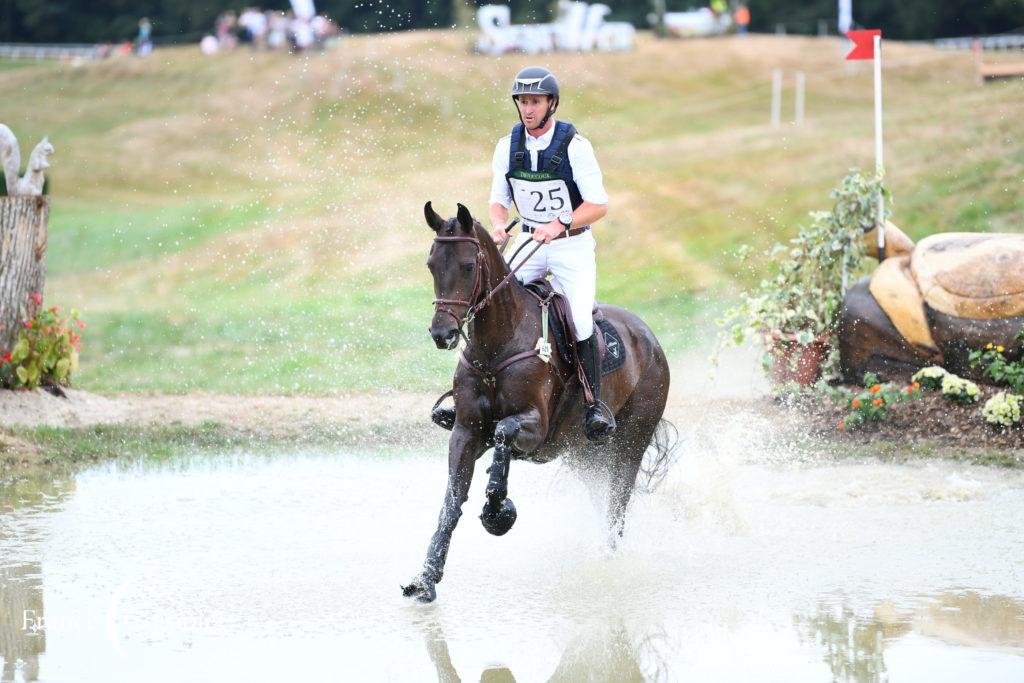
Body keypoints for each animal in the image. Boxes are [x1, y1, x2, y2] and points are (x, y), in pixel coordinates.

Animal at [403, 201, 675, 602]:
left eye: (468, 265)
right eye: (431, 264)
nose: (443, 334)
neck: (497, 343)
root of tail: (649, 339)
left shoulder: (535, 427)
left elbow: (504, 431)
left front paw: (497, 512)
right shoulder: (466, 432)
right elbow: (452, 502)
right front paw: (425, 579)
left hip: (630, 442)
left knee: (617, 504)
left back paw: (608, 565)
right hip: (583, 454)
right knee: (601, 501)